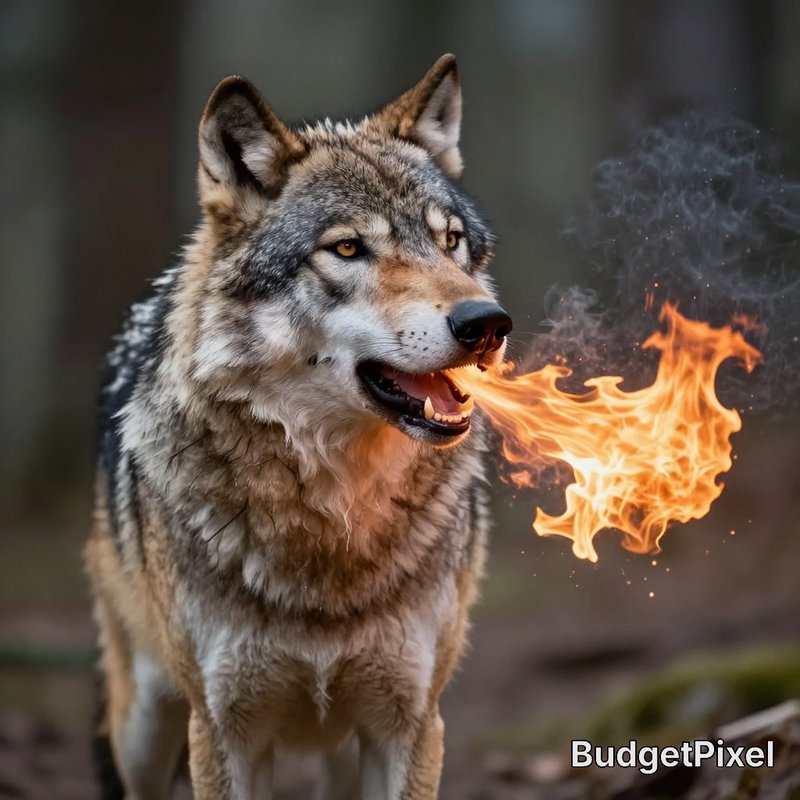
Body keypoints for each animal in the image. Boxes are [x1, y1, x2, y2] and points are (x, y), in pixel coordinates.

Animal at [85, 53, 511, 800]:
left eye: (450, 241)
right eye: (346, 249)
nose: (485, 324)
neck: (335, 516)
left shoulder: (409, 722)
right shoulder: (223, 731)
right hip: (143, 727)